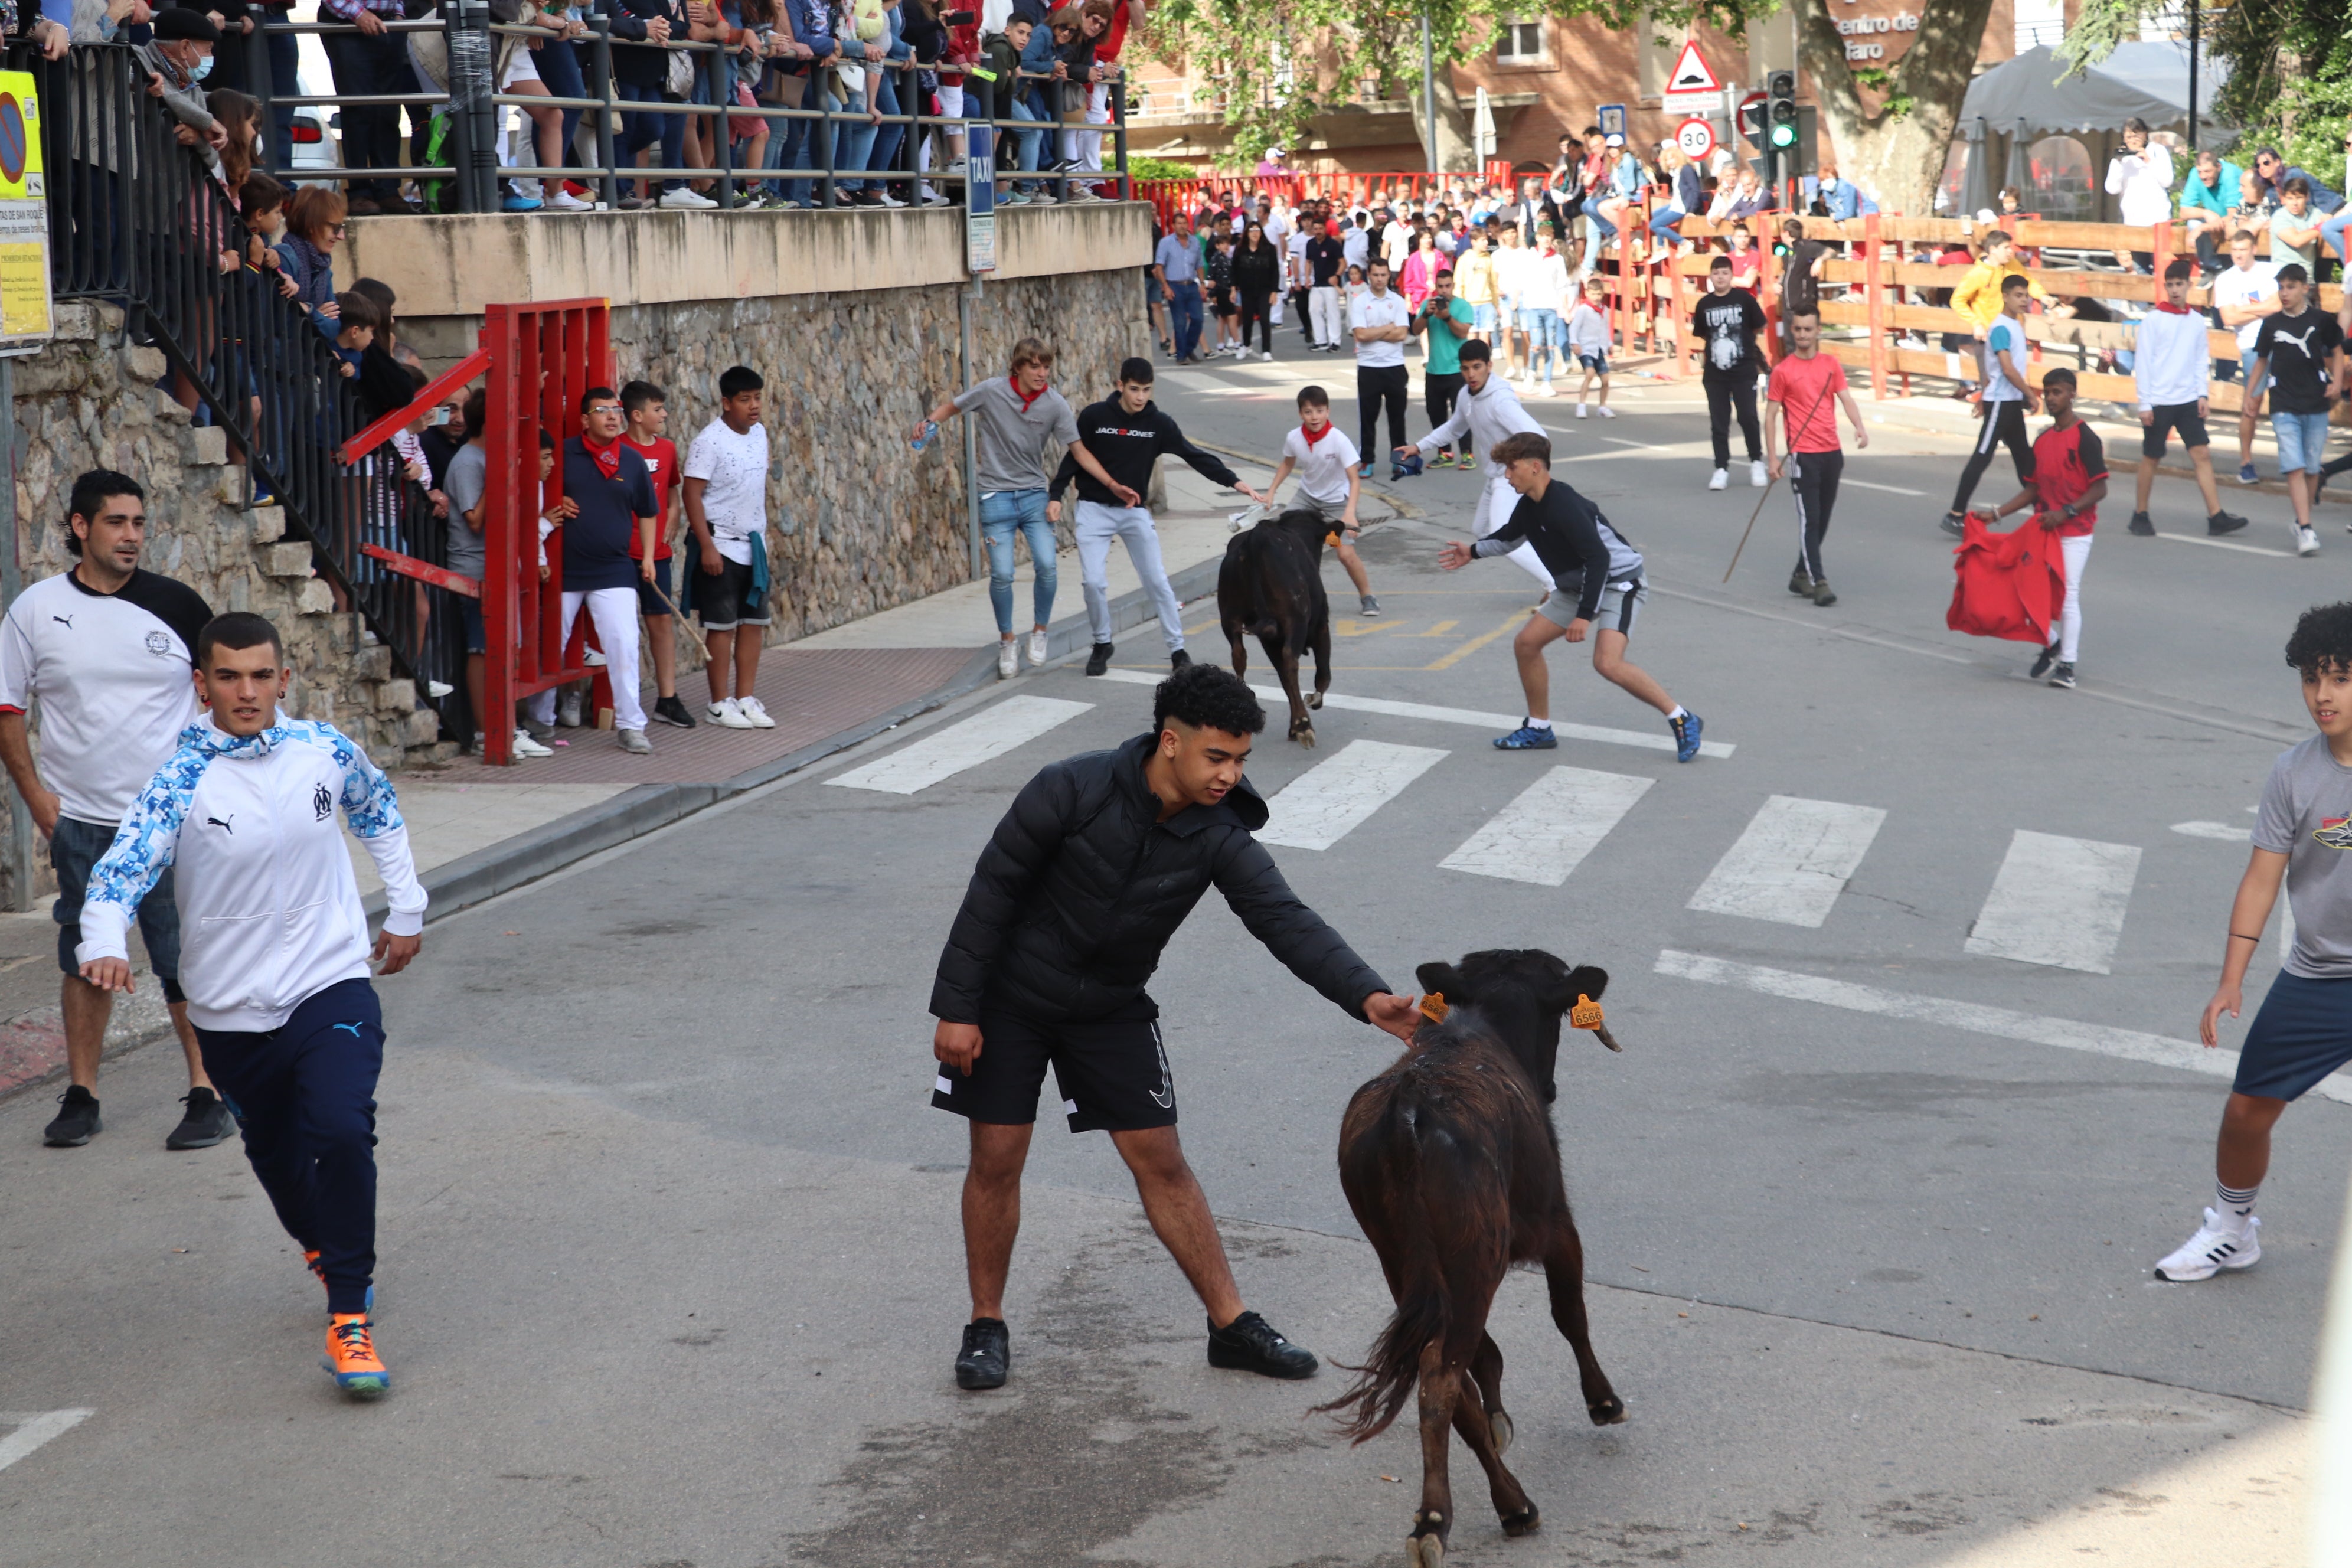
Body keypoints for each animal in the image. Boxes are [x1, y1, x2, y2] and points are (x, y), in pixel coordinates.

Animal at [1223, 505, 1335, 747]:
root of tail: (1256, 538)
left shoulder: (1269, 640)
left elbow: (1284, 680)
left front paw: (1293, 727)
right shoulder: (1321, 625)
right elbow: (1323, 674)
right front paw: (1310, 706)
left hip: (1230, 618)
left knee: (1239, 656)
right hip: (1295, 620)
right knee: (1291, 661)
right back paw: (1304, 725)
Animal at [1317, 949, 1627, 1561]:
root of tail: (1409, 1107)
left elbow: (1489, 1357)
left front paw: (1499, 1416)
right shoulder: (1557, 1224)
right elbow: (1570, 1314)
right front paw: (1603, 1401)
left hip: (1405, 1264)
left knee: (1445, 1372)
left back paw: (1502, 1500)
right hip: (1474, 1258)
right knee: (1442, 1374)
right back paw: (1454, 1517)